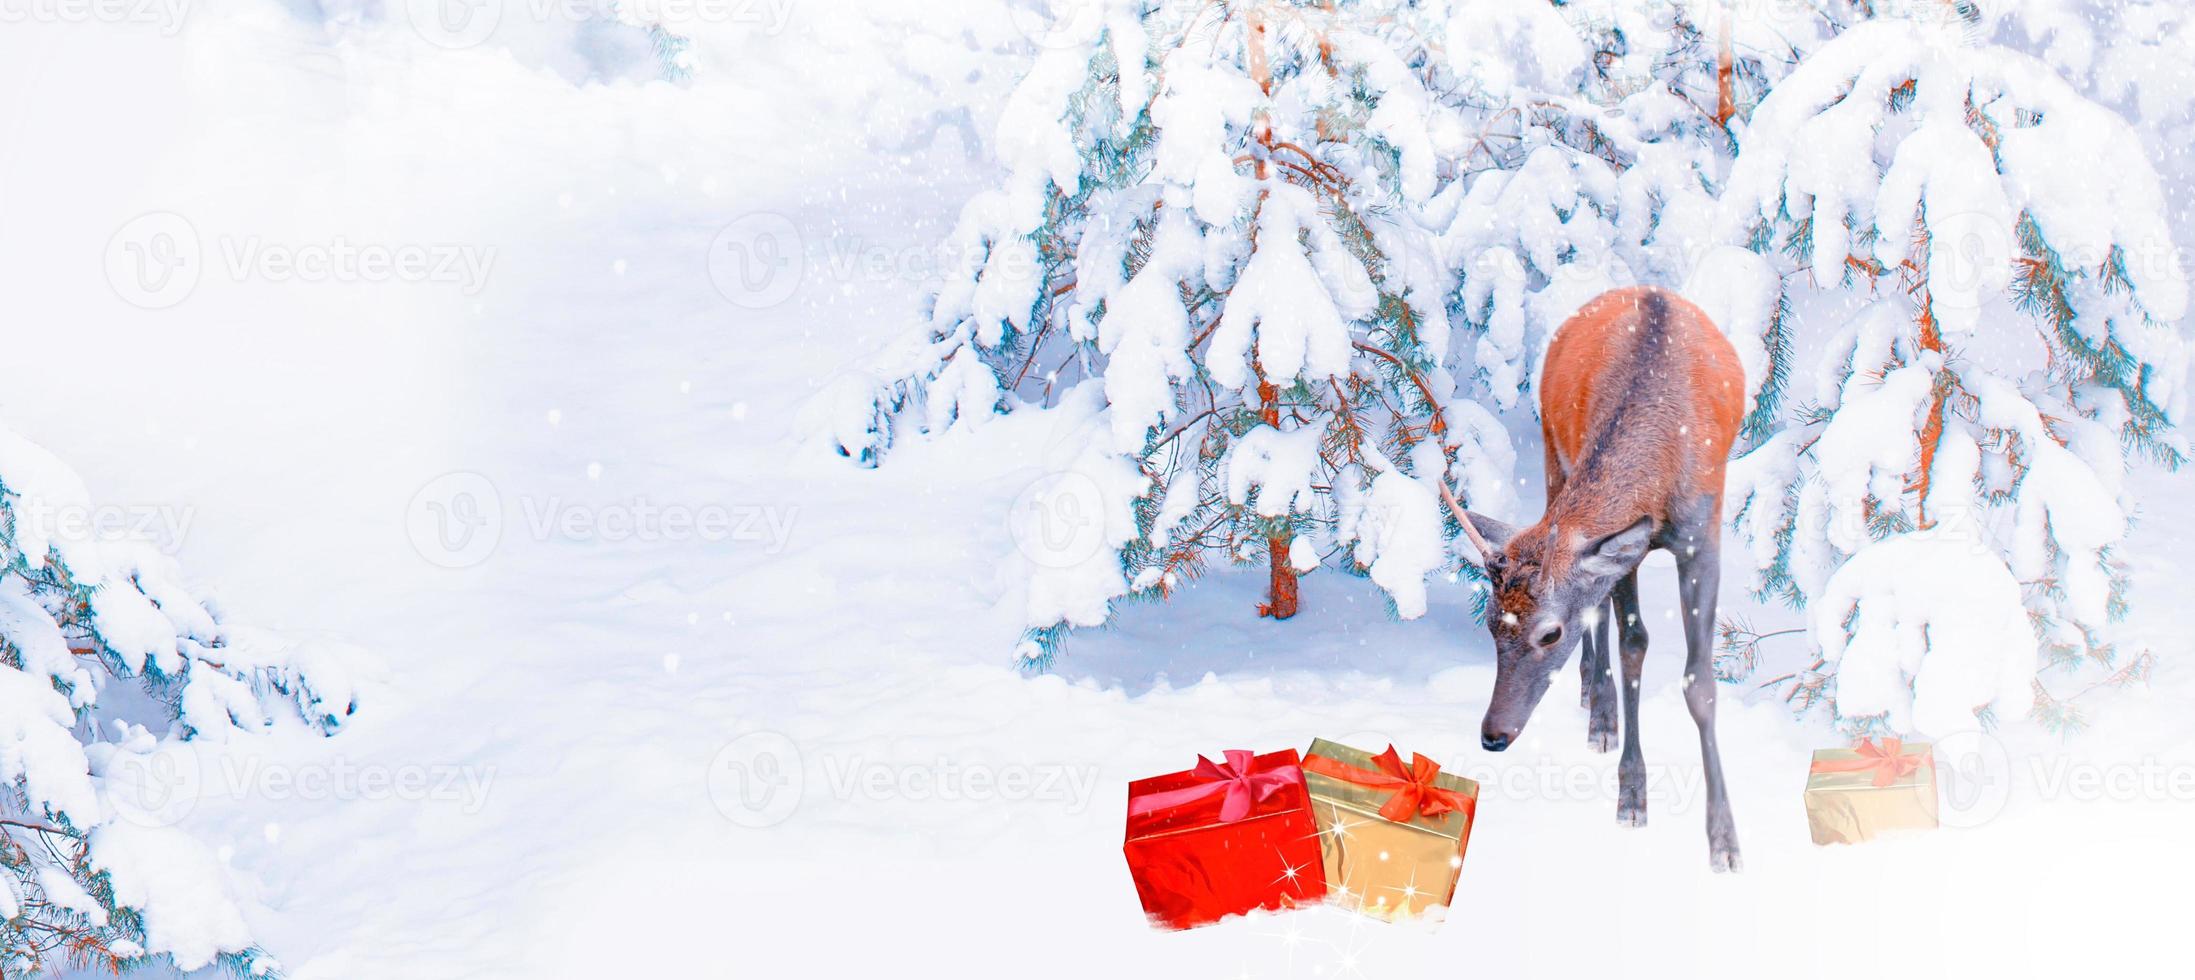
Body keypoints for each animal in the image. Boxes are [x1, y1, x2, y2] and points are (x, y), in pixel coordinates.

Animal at [1439, 285, 1747, 874]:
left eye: (1549, 632)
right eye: (1488, 625)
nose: (1493, 735)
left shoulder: (1704, 535)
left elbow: (1699, 680)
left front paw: (1724, 842)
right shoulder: (1624, 546)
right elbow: (1633, 645)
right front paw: (1632, 796)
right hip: (1551, 452)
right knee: (1602, 612)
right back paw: (1598, 711)